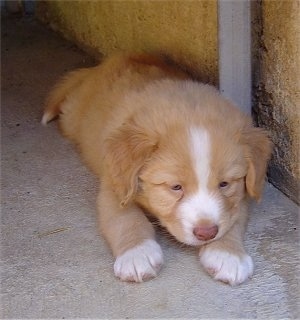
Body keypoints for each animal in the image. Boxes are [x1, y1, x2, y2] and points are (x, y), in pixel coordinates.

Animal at [42, 52, 272, 284]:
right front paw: (137, 254)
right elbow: (126, 218)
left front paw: (228, 254)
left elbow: (234, 217)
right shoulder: (114, 186)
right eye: (176, 187)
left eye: (224, 184)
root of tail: (104, 64)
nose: (206, 233)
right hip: (72, 116)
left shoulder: (244, 191)